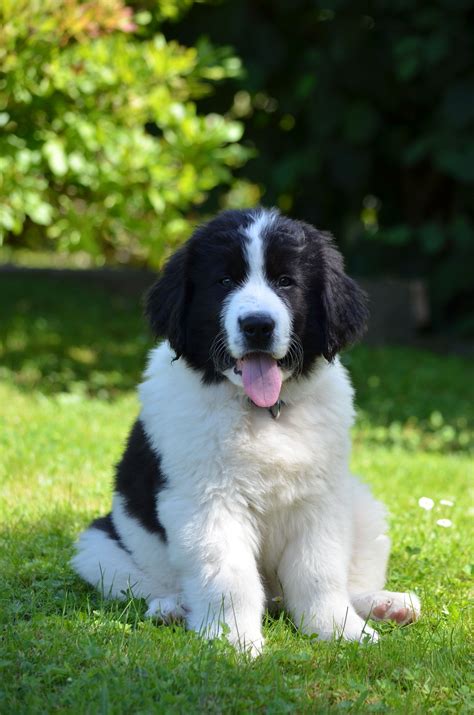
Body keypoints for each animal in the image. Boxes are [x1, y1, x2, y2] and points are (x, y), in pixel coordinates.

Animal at [72, 207, 420, 656]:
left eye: (286, 281)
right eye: (223, 281)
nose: (257, 325)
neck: (263, 412)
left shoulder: (319, 499)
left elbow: (320, 571)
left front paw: (338, 629)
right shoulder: (208, 503)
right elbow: (228, 576)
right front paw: (233, 640)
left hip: (362, 503)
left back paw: (384, 604)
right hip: (97, 543)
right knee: (139, 582)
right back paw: (172, 608)